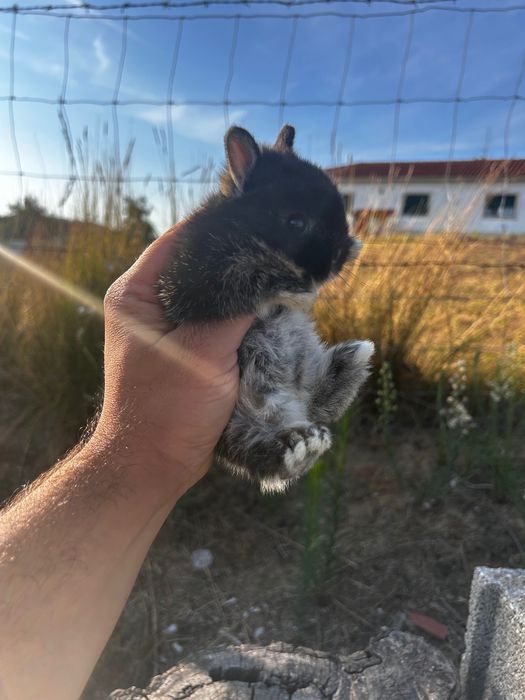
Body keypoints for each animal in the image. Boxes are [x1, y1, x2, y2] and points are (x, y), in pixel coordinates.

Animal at [157, 124, 374, 493]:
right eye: (295, 222)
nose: (336, 260)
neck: (244, 227)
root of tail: (291, 407)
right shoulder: (203, 280)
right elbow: (250, 272)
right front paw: (298, 290)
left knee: (319, 403)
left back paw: (353, 360)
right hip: (236, 420)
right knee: (260, 453)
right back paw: (299, 447)